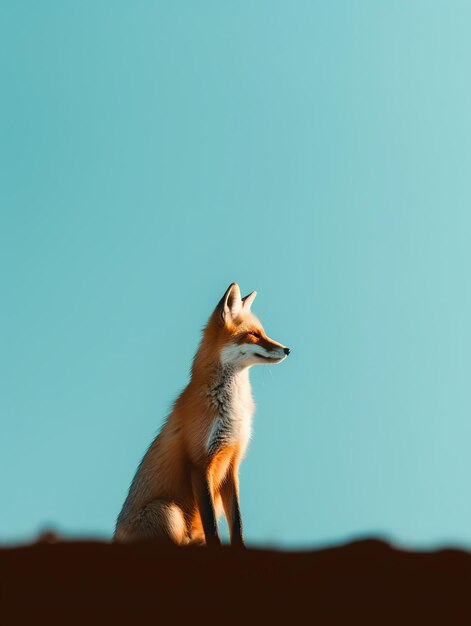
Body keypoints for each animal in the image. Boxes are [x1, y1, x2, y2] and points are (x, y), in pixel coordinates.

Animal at [115, 280, 292, 544]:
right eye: (254, 335)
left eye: (263, 332)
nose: (288, 349)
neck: (230, 408)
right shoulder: (199, 463)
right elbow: (212, 527)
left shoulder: (231, 464)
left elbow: (237, 524)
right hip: (168, 511)